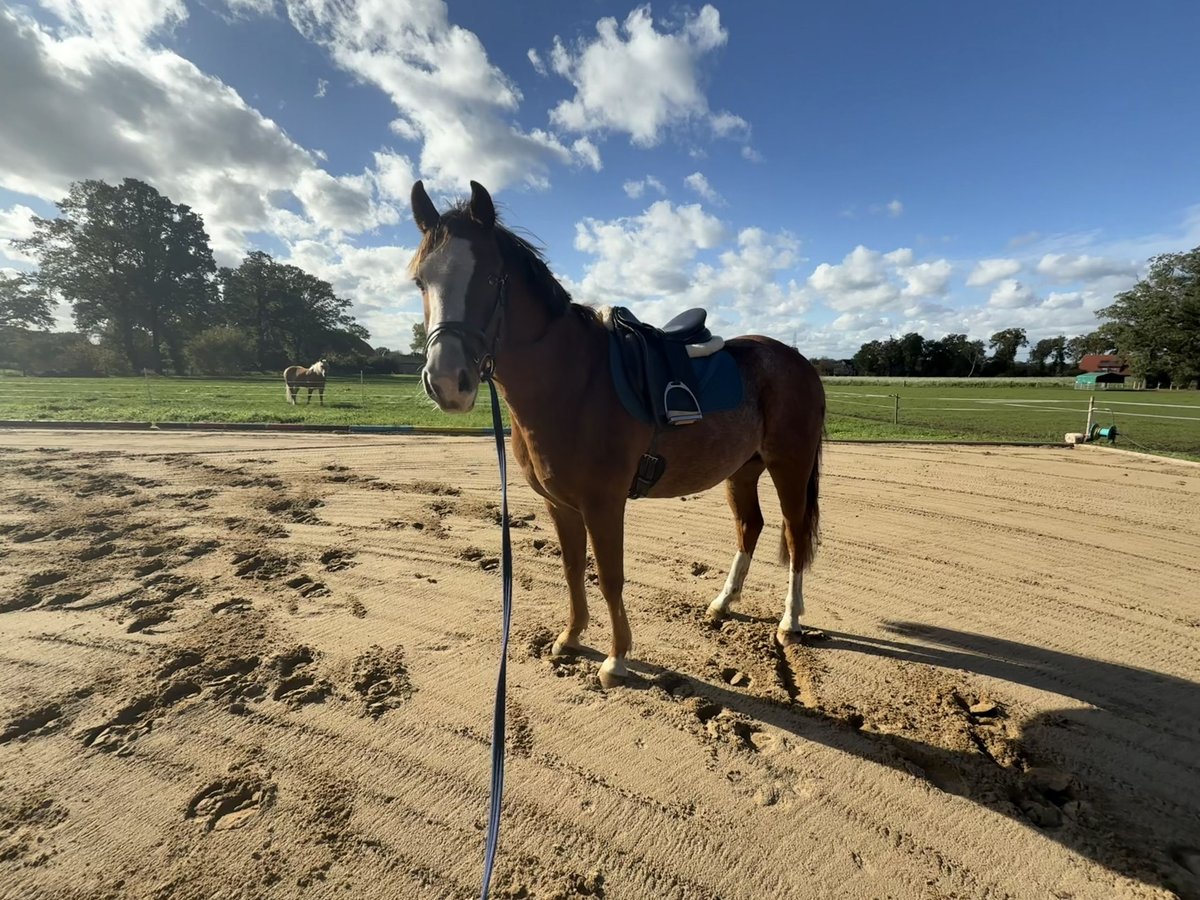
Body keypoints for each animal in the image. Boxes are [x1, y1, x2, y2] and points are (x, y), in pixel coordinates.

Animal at [408, 180, 825, 688]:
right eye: (420, 281)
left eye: (490, 278)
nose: (447, 381)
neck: (572, 380)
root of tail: (798, 360)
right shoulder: (561, 504)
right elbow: (572, 569)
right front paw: (569, 639)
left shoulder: (603, 504)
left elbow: (610, 576)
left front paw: (616, 658)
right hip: (743, 471)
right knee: (752, 527)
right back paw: (723, 603)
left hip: (790, 466)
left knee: (794, 533)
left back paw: (790, 621)